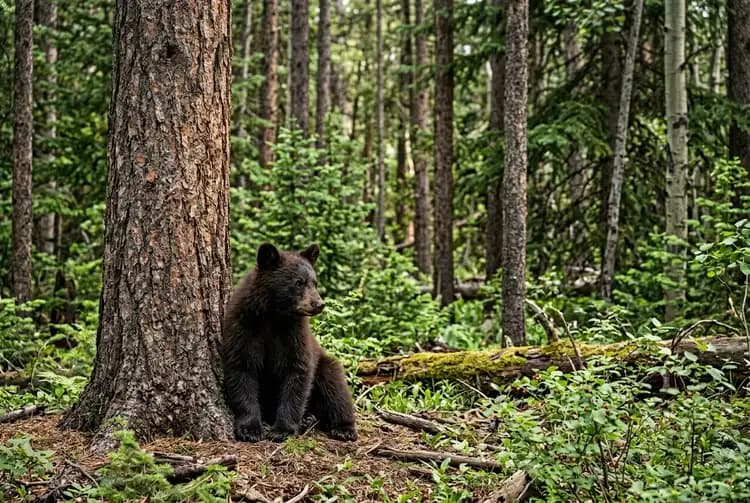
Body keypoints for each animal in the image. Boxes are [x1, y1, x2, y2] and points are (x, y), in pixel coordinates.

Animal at [221, 243, 358, 443]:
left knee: (335, 390)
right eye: (298, 282)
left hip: (325, 365)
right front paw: (250, 429)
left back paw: (343, 428)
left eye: (314, 282)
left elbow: (296, 372)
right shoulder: (244, 327)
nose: (319, 304)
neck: (274, 316)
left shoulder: (294, 335)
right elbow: (242, 369)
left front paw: (282, 429)